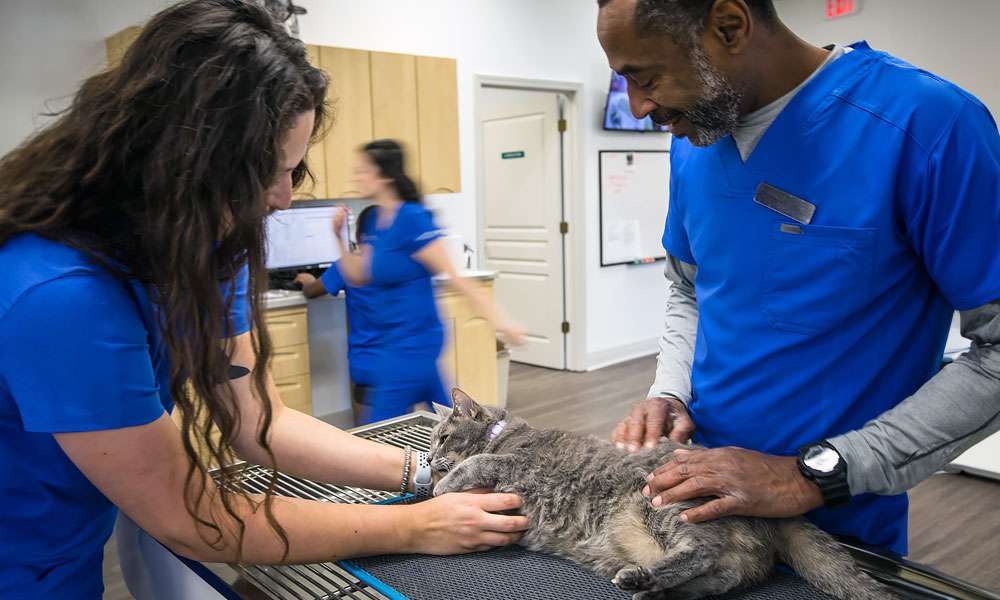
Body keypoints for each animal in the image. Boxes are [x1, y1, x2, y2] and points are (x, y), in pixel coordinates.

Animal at [428, 390, 892, 600]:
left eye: (443, 437)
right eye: (431, 440)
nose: (429, 459)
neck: (502, 435)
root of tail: (772, 512)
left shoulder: (511, 465)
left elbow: (474, 464)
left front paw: (440, 488)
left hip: (663, 506)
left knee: (702, 553)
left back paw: (645, 580)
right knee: (722, 578)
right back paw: (655, 589)